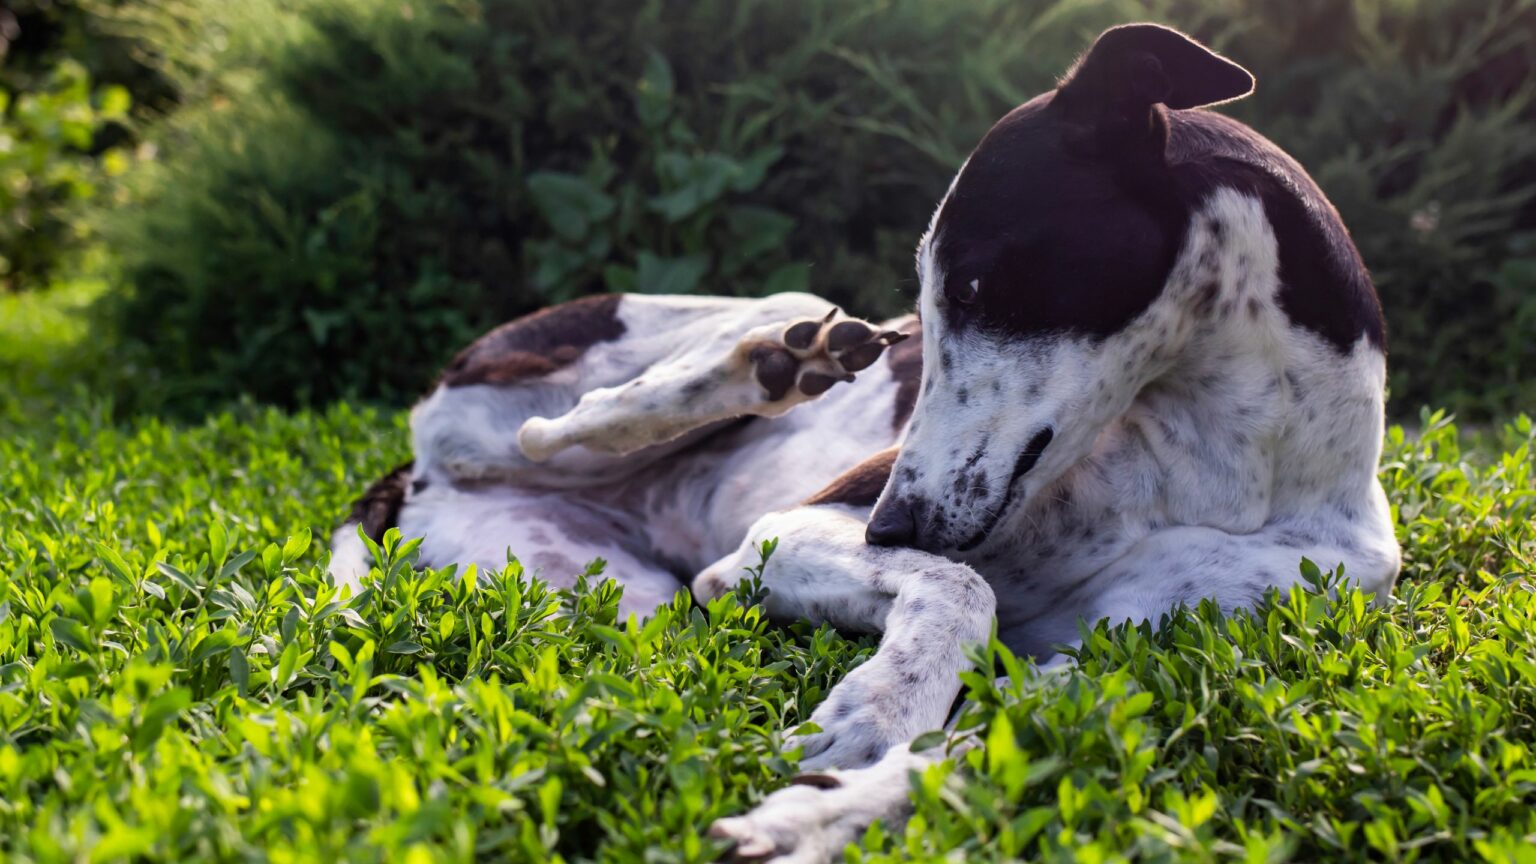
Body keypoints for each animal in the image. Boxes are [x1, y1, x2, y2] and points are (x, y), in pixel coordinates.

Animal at [327, 23, 1406, 854]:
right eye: (933, 293)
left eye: (969, 282)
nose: (894, 525)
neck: (1224, 465)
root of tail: (405, 479)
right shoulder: (775, 542)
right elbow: (962, 587)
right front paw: (878, 709)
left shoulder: (1121, 667)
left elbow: (988, 746)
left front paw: (815, 816)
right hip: (590, 379)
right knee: (516, 424)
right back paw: (757, 366)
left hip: (618, 603)